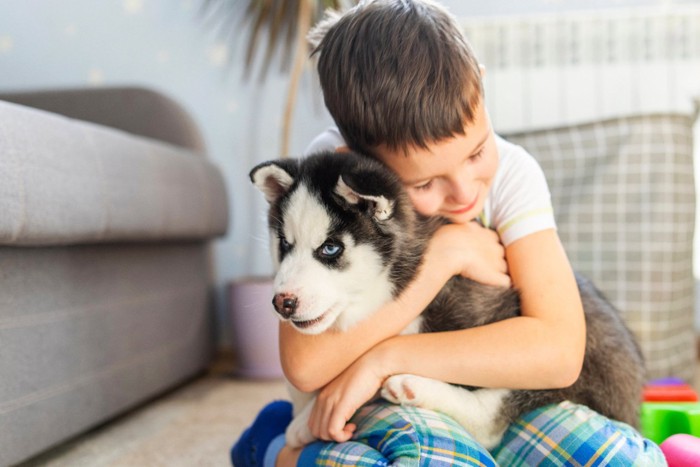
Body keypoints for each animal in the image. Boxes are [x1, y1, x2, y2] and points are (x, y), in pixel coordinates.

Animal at [250, 150, 644, 450]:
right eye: (284, 244)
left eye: (330, 249)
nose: (282, 303)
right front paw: (305, 412)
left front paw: (306, 420)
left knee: (490, 417)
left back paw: (412, 387)